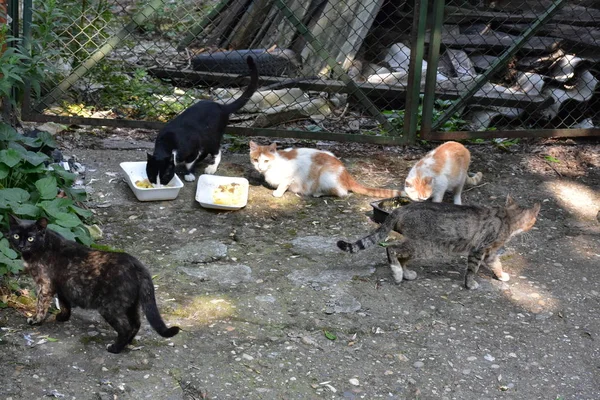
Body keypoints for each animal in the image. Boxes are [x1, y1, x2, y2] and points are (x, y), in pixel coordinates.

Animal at [8, 216, 179, 354]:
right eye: (16, 235)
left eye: (31, 238)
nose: (22, 245)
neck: (42, 247)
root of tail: (138, 266)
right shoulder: (63, 286)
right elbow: (64, 303)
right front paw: (63, 317)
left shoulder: (44, 285)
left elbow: (41, 305)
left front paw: (36, 320)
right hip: (131, 304)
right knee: (136, 323)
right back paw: (127, 343)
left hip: (109, 307)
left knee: (126, 327)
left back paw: (115, 348)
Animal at [147, 55, 258, 184]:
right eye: (151, 177)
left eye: (165, 176)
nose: (158, 185)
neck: (167, 144)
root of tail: (221, 106)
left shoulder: (193, 147)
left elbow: (190, 162)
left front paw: (189, 174)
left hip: (212, 137)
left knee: (217, 151)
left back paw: (211, 167)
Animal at [248, 141, 398, 198]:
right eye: (256, 160)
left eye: (266, 160)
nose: (259, 167)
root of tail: (346, 172)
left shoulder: (293, 171)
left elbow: (284, 183)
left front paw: (278, 192)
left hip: (325, 174)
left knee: (342, 193)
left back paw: (318, 193)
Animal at [340, 195, 540, 290]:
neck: (507, 217)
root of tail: (404, 208)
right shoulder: (479, 249)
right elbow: (472, 270)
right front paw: (470, 284)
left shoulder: (490, 252)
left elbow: (496, 263)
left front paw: (501, 275)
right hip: (424, 246)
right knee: (392, 249)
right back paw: (397, 273)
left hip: (419, 245)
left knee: (403, 256)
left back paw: (407, 273)